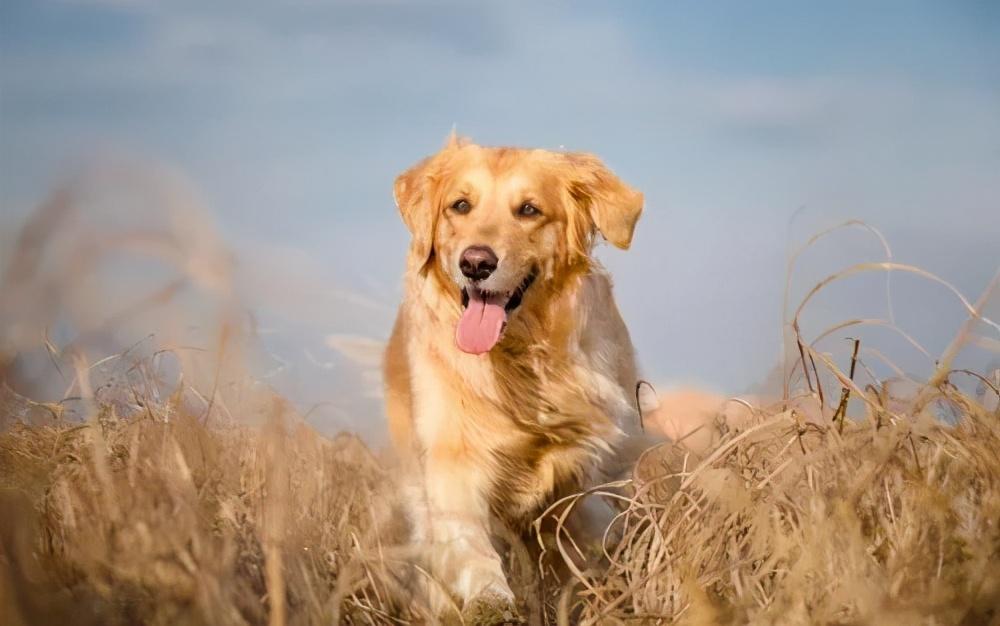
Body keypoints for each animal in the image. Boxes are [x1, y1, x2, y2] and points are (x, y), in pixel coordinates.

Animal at [382, 133, 648, 620]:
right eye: (460, 205)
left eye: (528, 209)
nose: (475, 263)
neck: (518, 361)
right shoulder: (451, 461)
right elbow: (470, 545)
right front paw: (491, 600)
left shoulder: (587, 462)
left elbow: (586, 529)